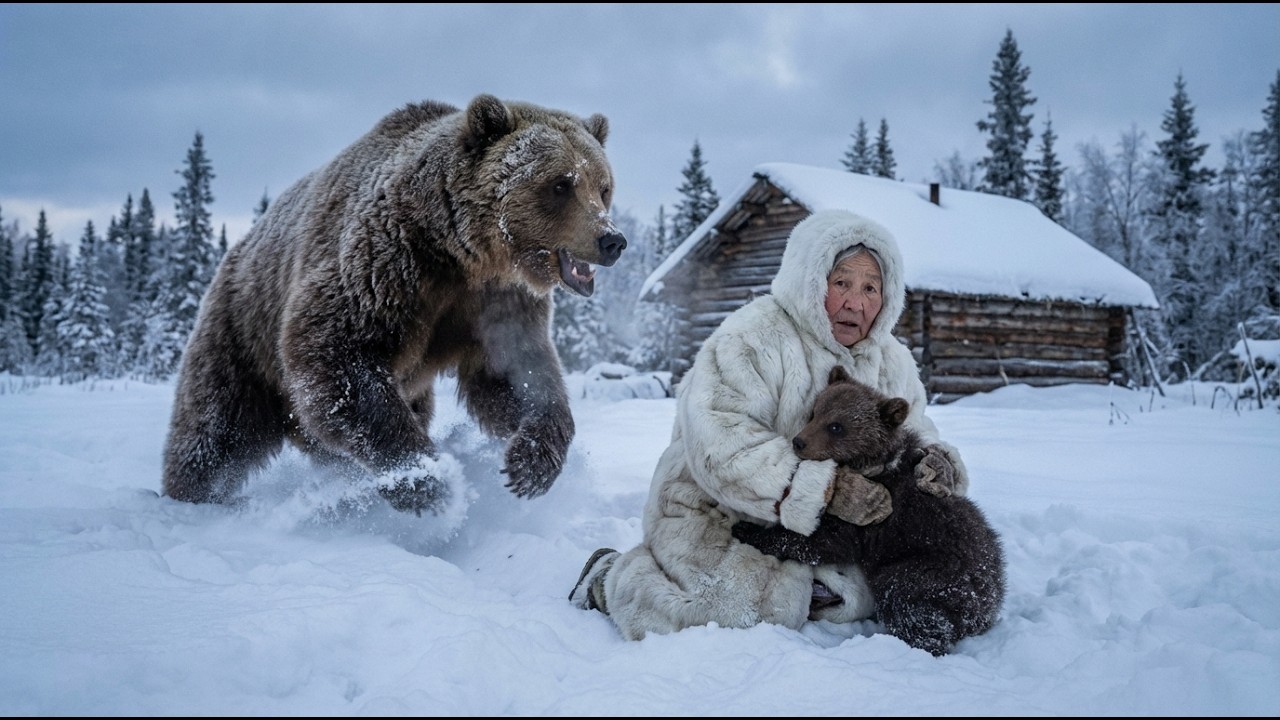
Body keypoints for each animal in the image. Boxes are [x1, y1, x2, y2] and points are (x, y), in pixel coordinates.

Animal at [161, 94, 627, 516]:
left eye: (603, 186)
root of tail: (235, 251)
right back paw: (191, 494)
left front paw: (529, 465)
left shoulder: (496, 301)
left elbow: (515, 372)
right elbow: (335, 353)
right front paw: (426, 480)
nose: (612, 239)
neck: (463, 253)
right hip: (242, 333)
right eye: (561, 184)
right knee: (215, 430)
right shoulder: (387, 265)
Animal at [731, 366, 1006, 656]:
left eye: (836, 426)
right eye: (814, 412)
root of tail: (991, 599)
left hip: (928, 570)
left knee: (907, 600)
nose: (799, 442)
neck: (871, 466)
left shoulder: (872, 522)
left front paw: (748, 529)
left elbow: (823, 541)